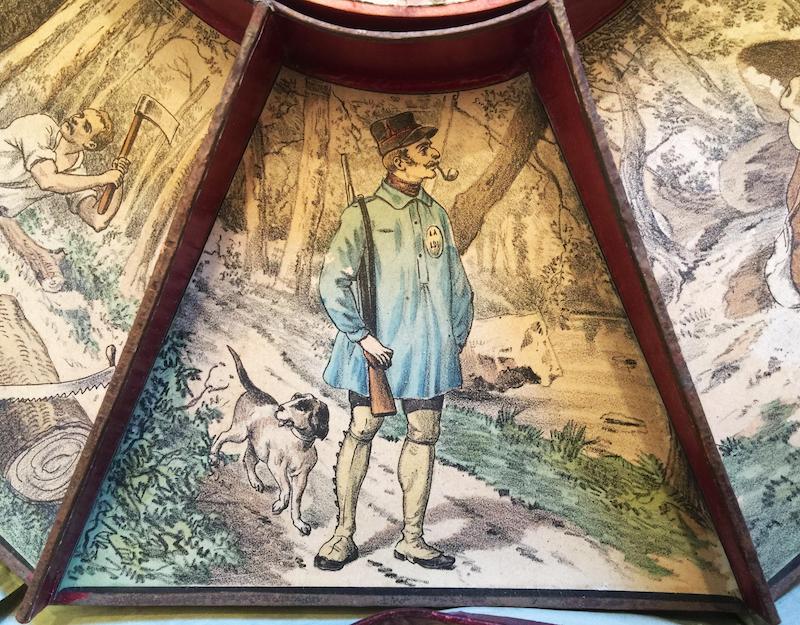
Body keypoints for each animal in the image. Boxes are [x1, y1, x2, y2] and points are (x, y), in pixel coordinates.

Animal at [209, 346, 329, 536]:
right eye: (294, 397)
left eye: (302, 407)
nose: (279, 407)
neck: (299, 444)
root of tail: (255, 391)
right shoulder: (277, 467)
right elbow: (286, 488)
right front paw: (280, 504)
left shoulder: (301, 478)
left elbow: (296, 501)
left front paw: (298, 523)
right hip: (240, 433)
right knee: (221, 436)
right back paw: (213, 457)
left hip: (256, 446)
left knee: (248, 460)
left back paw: (255, 481)